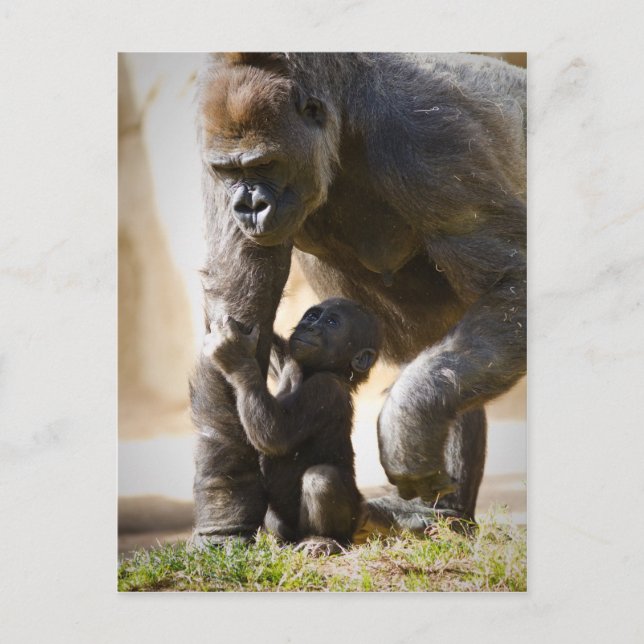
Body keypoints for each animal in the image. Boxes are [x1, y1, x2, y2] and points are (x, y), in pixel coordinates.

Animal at [201, 298, 380, 555]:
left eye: (332, 322)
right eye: (312, 315)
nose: (309, 326)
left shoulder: (324, 390)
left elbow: (275, 436)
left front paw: (234, 352)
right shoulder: (288, 359)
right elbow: (278, 349)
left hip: (350, 523)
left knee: (321, 478)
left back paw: (323, 539)